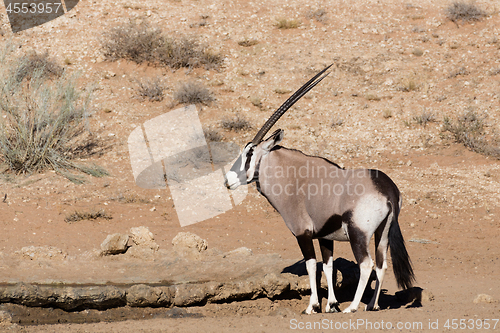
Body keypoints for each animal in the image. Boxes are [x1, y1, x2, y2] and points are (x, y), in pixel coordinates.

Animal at [224, 65, 414, 314]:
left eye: (249, 153)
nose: (227, 180)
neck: (294, 178)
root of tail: (387, 190)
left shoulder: (302, 234)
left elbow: (311, 266)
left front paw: (312, 306)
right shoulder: (325, 236)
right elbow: (328, 266)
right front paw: (331, 305)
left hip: (358, 234)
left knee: (366, 265)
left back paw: (353, 307)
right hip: (382, 233)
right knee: (381, 265)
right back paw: (371, 305)